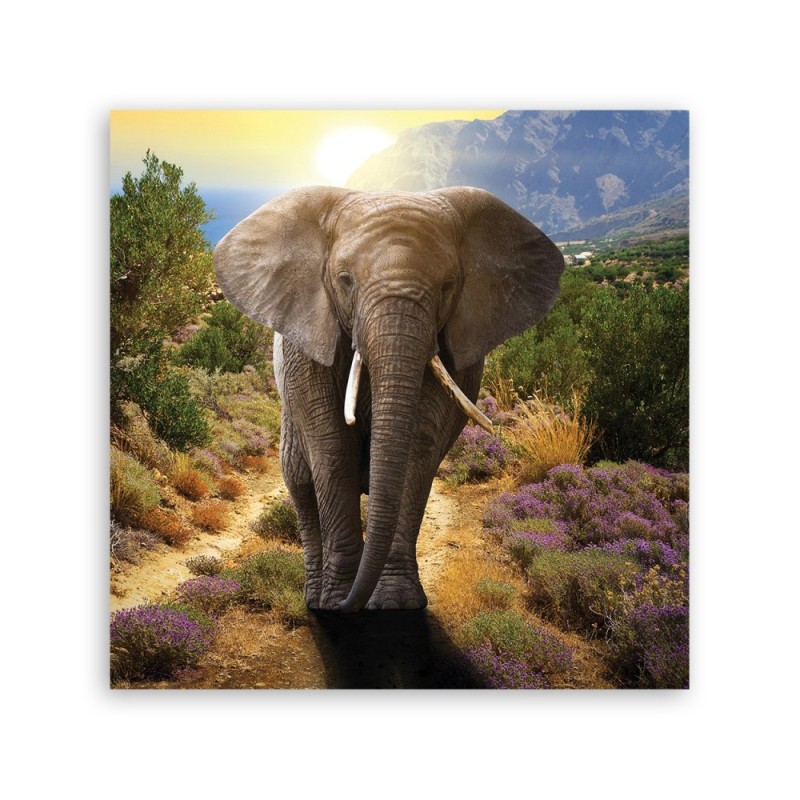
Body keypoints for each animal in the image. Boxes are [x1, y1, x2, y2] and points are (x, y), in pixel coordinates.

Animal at [214, 186, 564, 612]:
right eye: (345, 280)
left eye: (448, 286)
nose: (349, 605)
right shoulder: (306, 343)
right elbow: (332, 449)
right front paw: (337, 601)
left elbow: (417, 448)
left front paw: (396, 603)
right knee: (299, 479)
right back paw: (315, 599)